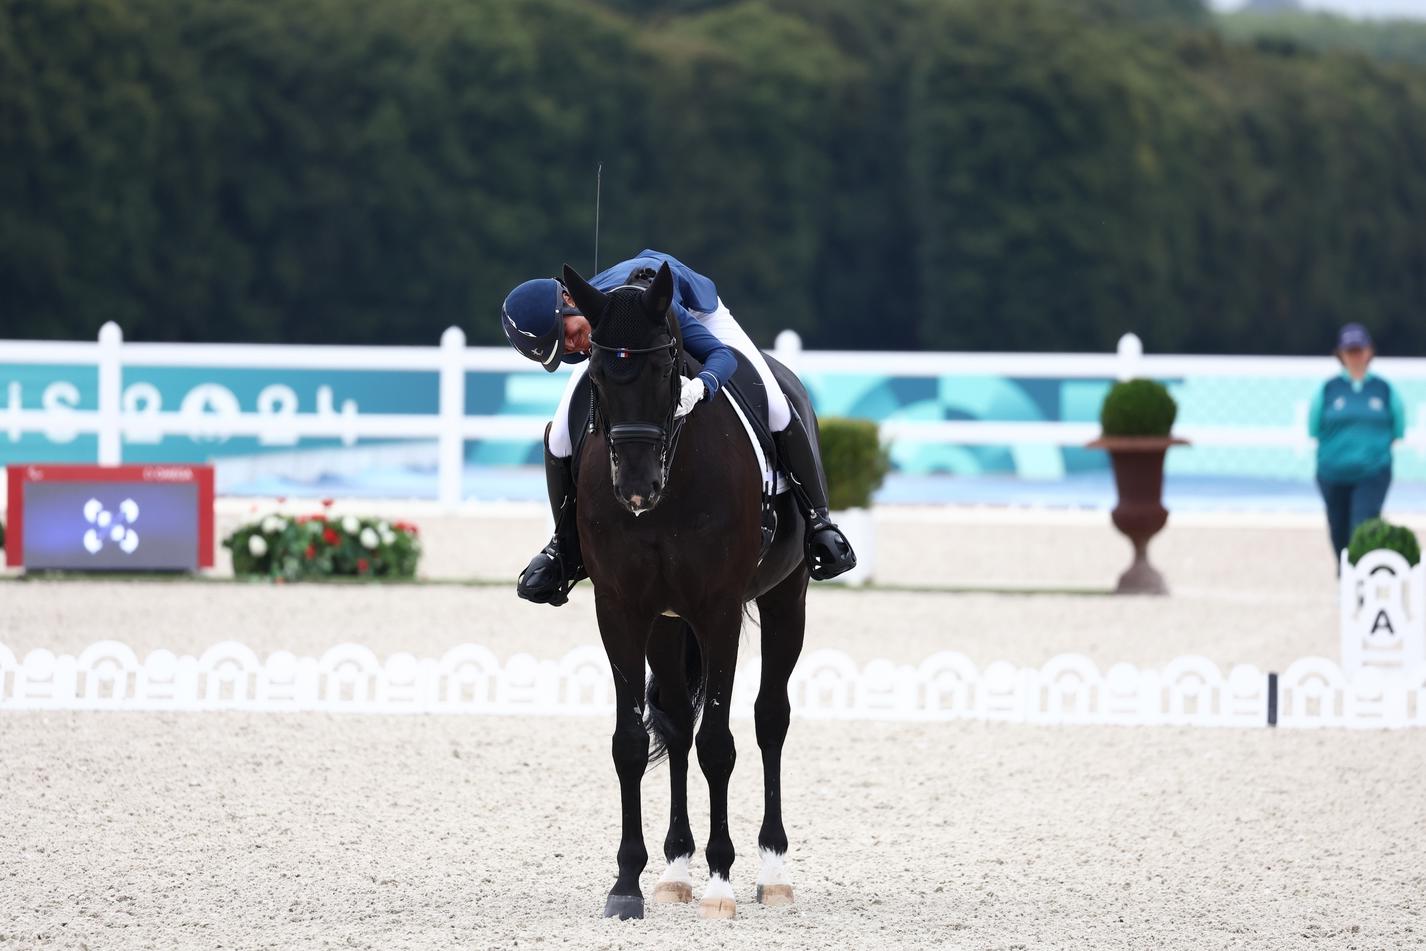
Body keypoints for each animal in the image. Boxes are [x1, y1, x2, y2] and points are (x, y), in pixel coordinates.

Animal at [558, 262, 815, 923]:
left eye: (663, 370)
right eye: (597, 377)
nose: (636, 486)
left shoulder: (717, 609)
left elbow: (718, 744)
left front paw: (722, 882)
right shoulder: (622, 610)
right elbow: (631, 741)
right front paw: (627, 883)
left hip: (785, 599)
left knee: (769, 718)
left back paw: (772, 870)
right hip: (668, 625)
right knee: (674, 723)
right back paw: (675, 870)